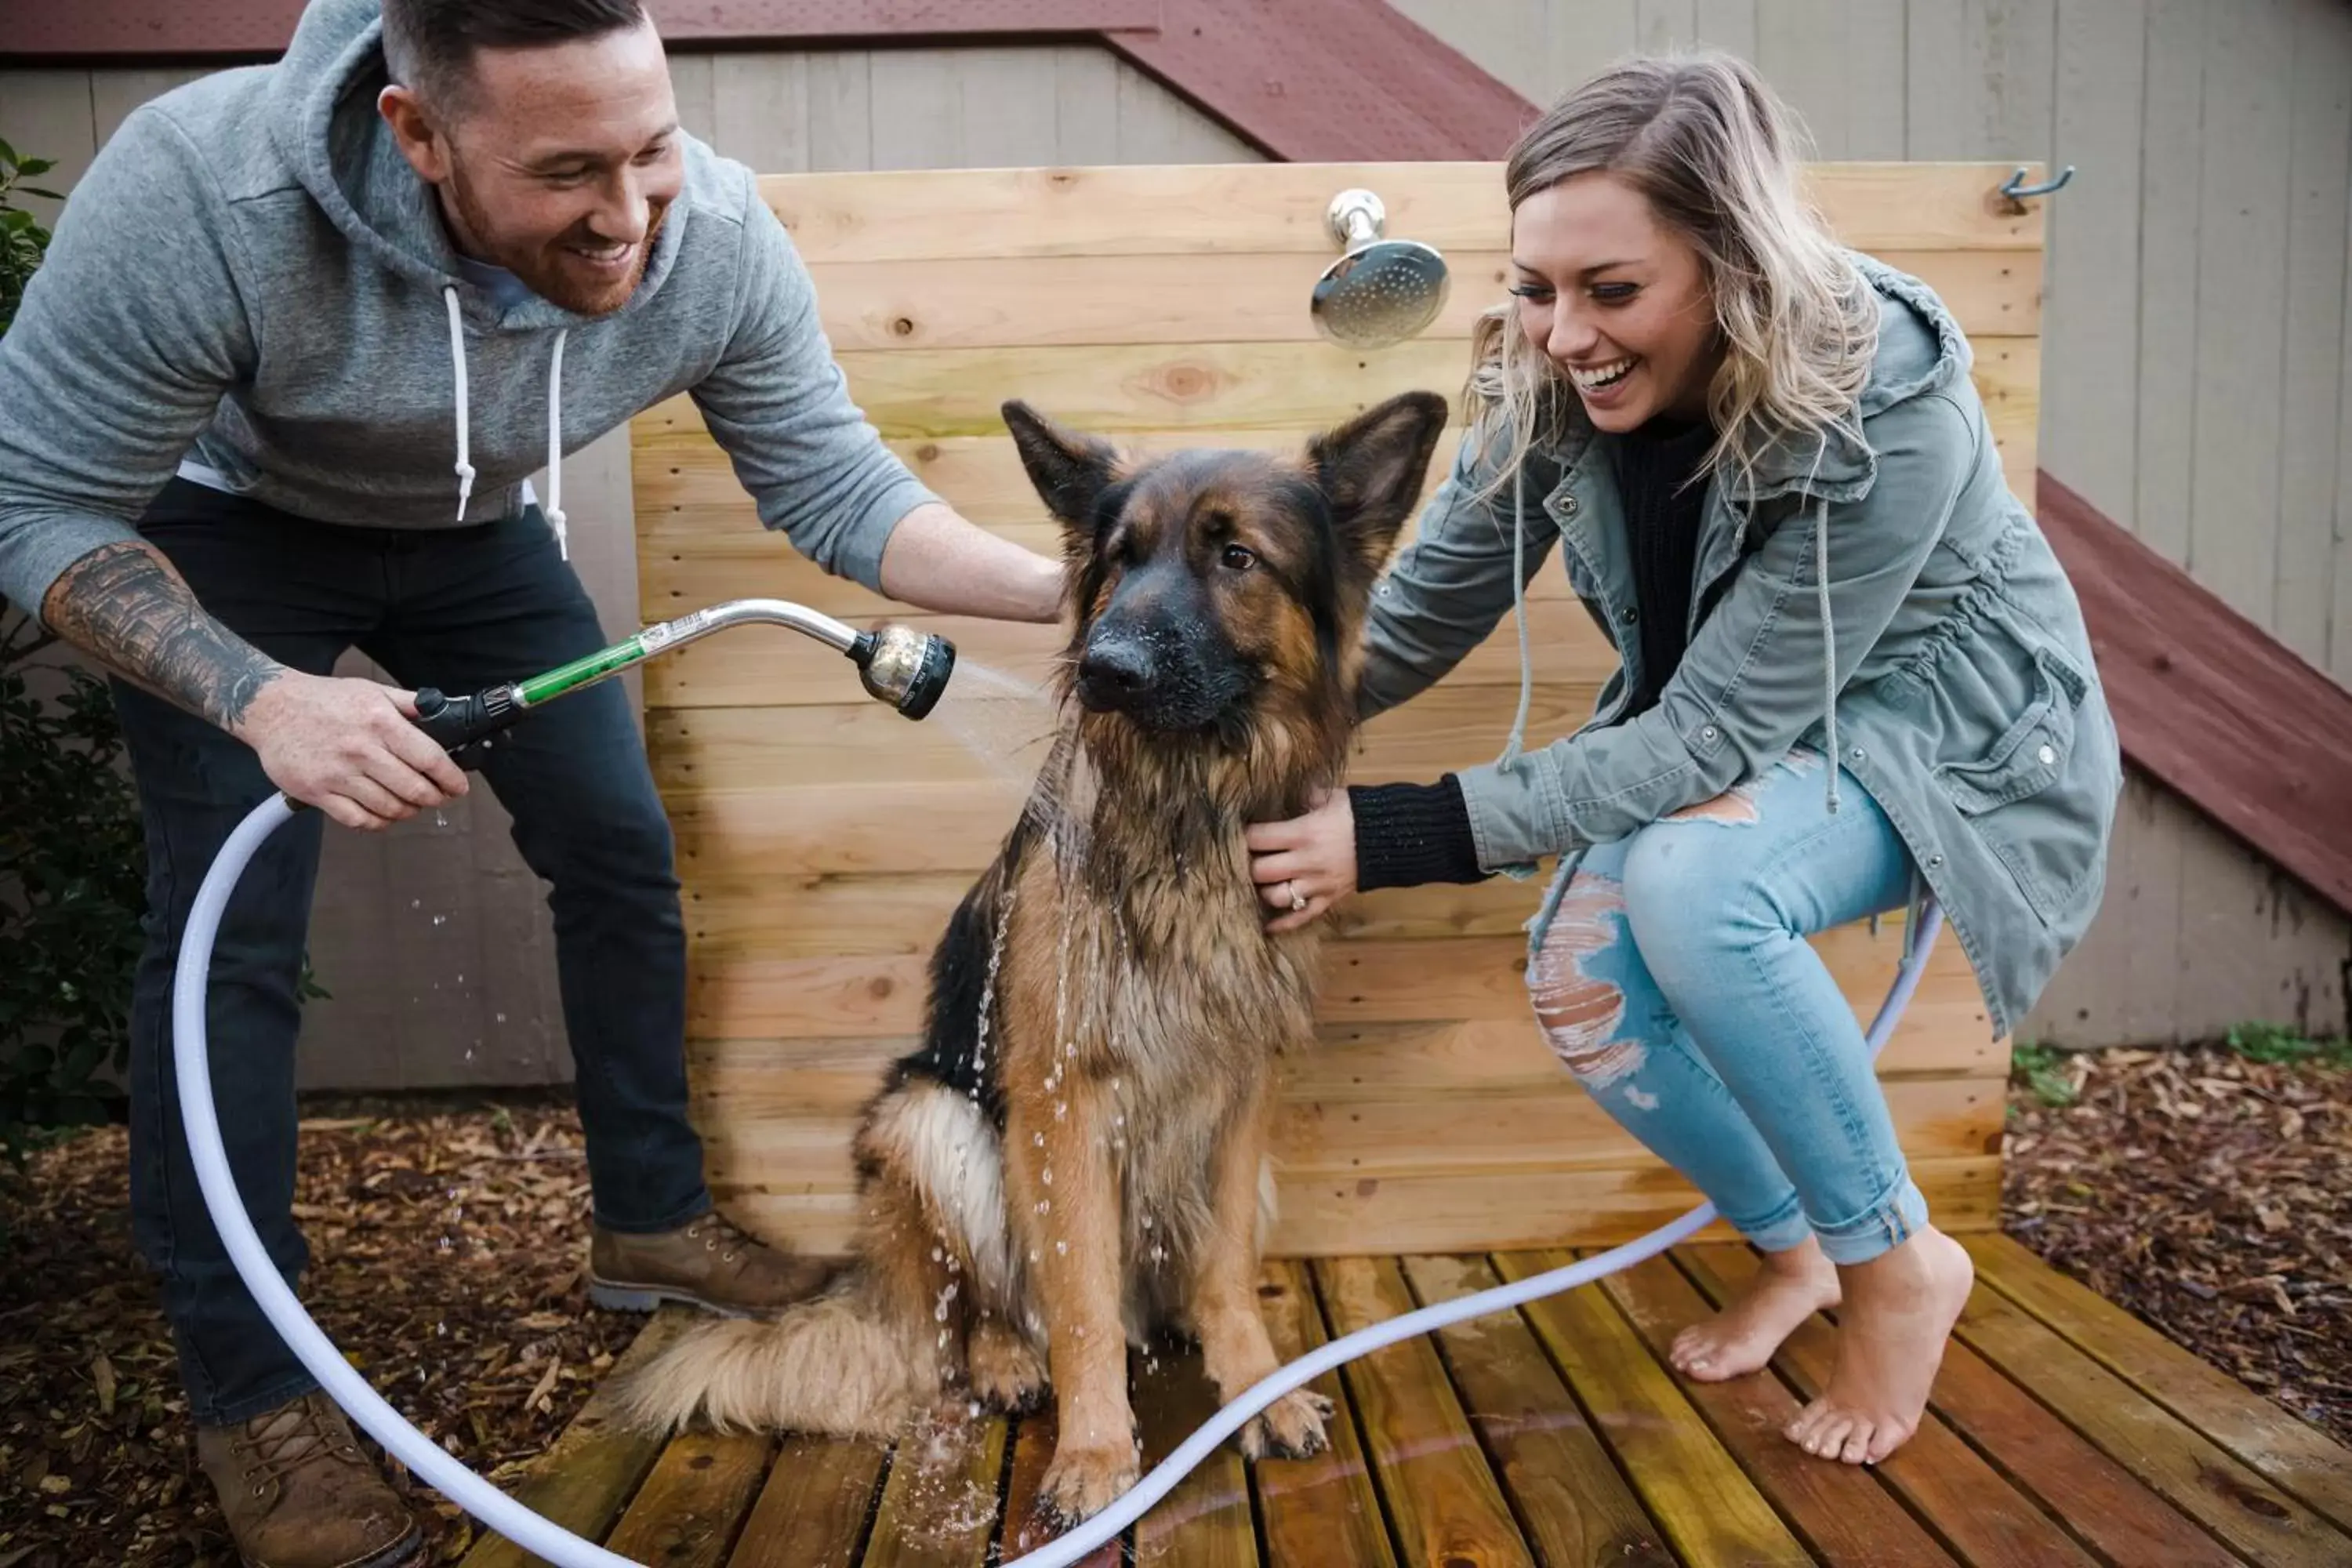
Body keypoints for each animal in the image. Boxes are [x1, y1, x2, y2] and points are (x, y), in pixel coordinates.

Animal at [616, 390, 1439, 1523]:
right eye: (1120, 559)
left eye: (1236, 556)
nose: (1105, 668)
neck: (1184, 813)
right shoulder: (1064, 1098)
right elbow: (1078, 1296)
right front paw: (1095, 1452)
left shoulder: (1241, 1092)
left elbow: (1228, 1267)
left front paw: (1255, 1386)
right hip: (927, 1119)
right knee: (993, 1302)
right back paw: (1008, 1359)